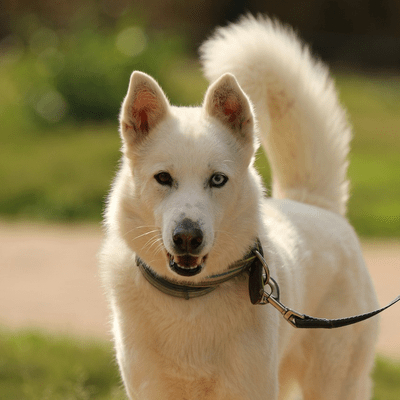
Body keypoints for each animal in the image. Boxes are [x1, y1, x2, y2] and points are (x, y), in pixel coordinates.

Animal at [99, 14, 378, 398]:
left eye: (217, 179)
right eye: (163, 178)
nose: (188, 237)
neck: (190, 301)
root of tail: (316, 205)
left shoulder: (249, 387)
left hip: (333, 382)